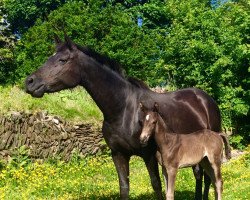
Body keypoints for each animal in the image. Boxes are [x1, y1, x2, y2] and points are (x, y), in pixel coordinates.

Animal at [24, 35, 221, 199]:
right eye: (49, 58)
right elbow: (124, 187)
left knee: (208, 177)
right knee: (200, 175)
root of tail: (205, 99)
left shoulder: (149, 154)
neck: (124, 109)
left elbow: (156, 185)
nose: (30, 82)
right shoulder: (118, 154)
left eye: (62, 60)